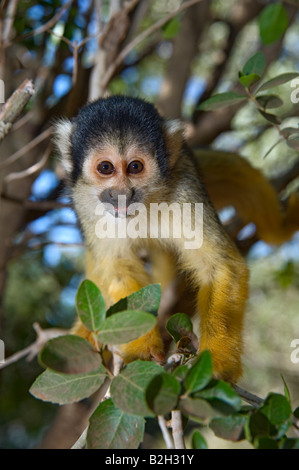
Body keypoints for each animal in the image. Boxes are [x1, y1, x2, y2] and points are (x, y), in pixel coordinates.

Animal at [55, 94, 299, 382]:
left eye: (135, 167)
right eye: (106, 168)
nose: (121, 194)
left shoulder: (185, 186)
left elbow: (220, 266)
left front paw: (216, 363)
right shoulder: (86, 205)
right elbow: (118, 267)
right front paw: (140, 347)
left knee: (238, 172)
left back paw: (283, 227)